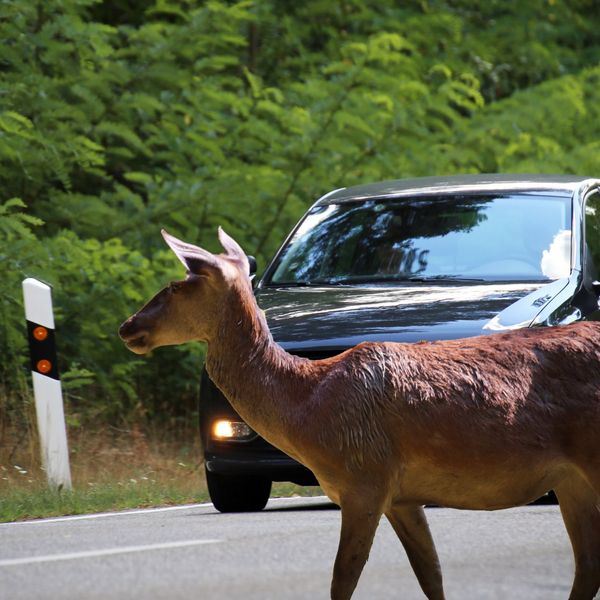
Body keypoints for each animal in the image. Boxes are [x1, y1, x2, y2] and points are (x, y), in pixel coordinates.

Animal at [118, 227, 600, 596]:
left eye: (177, 285)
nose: (127, 326)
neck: (308, 407)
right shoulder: (400, 494)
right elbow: (432, 576)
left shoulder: (364, 478)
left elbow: (342, 580)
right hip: (571, 480)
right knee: (586, 569)